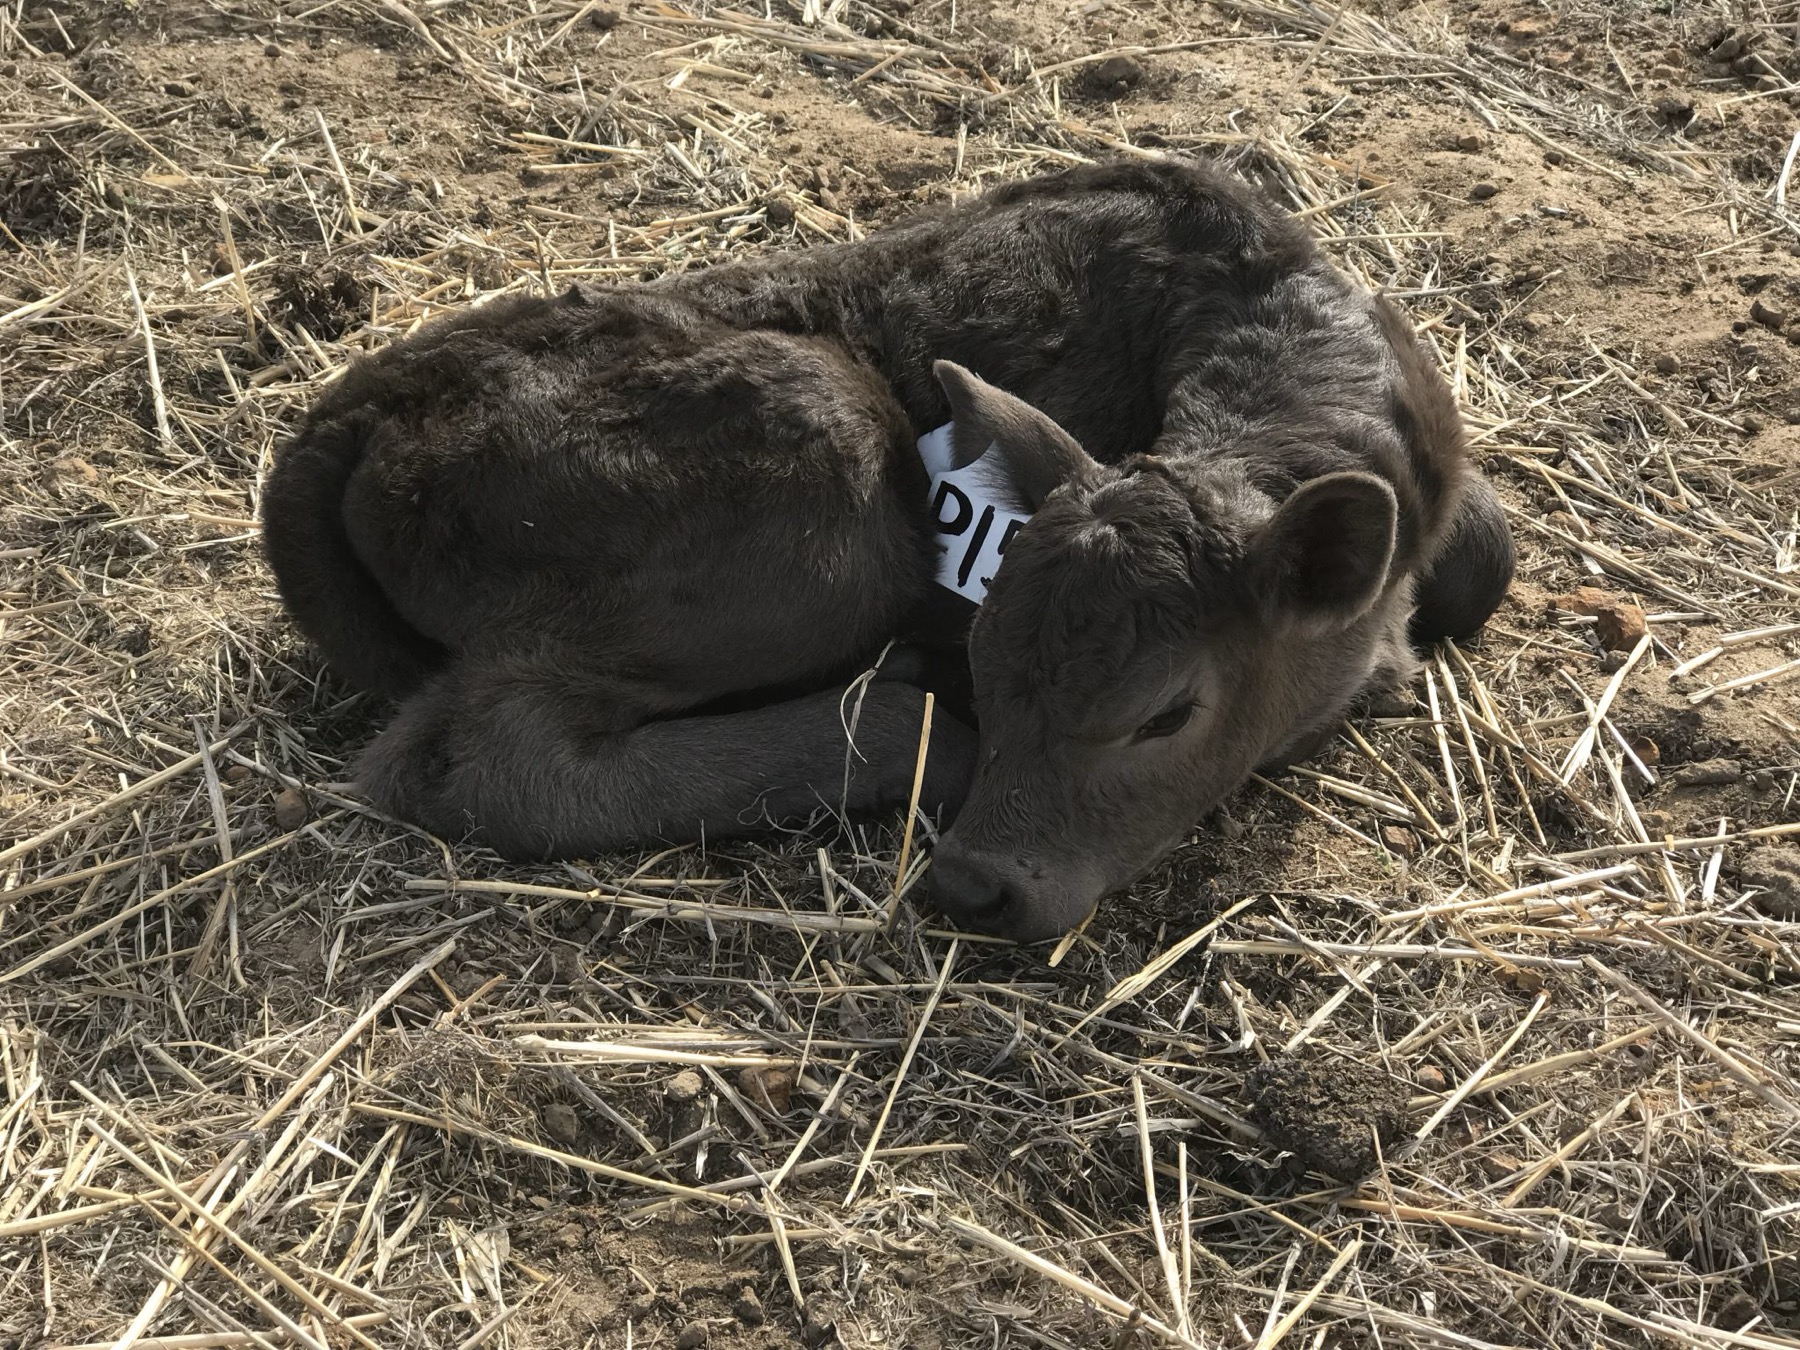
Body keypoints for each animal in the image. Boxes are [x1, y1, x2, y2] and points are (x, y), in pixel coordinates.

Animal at [262, 156, 1513, 941]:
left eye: (1168, 713)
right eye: (995, 669)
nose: (974, 886)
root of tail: (351, 415)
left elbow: (1487, 554)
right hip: (831, 494)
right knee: (468, 757)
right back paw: (907, 719)